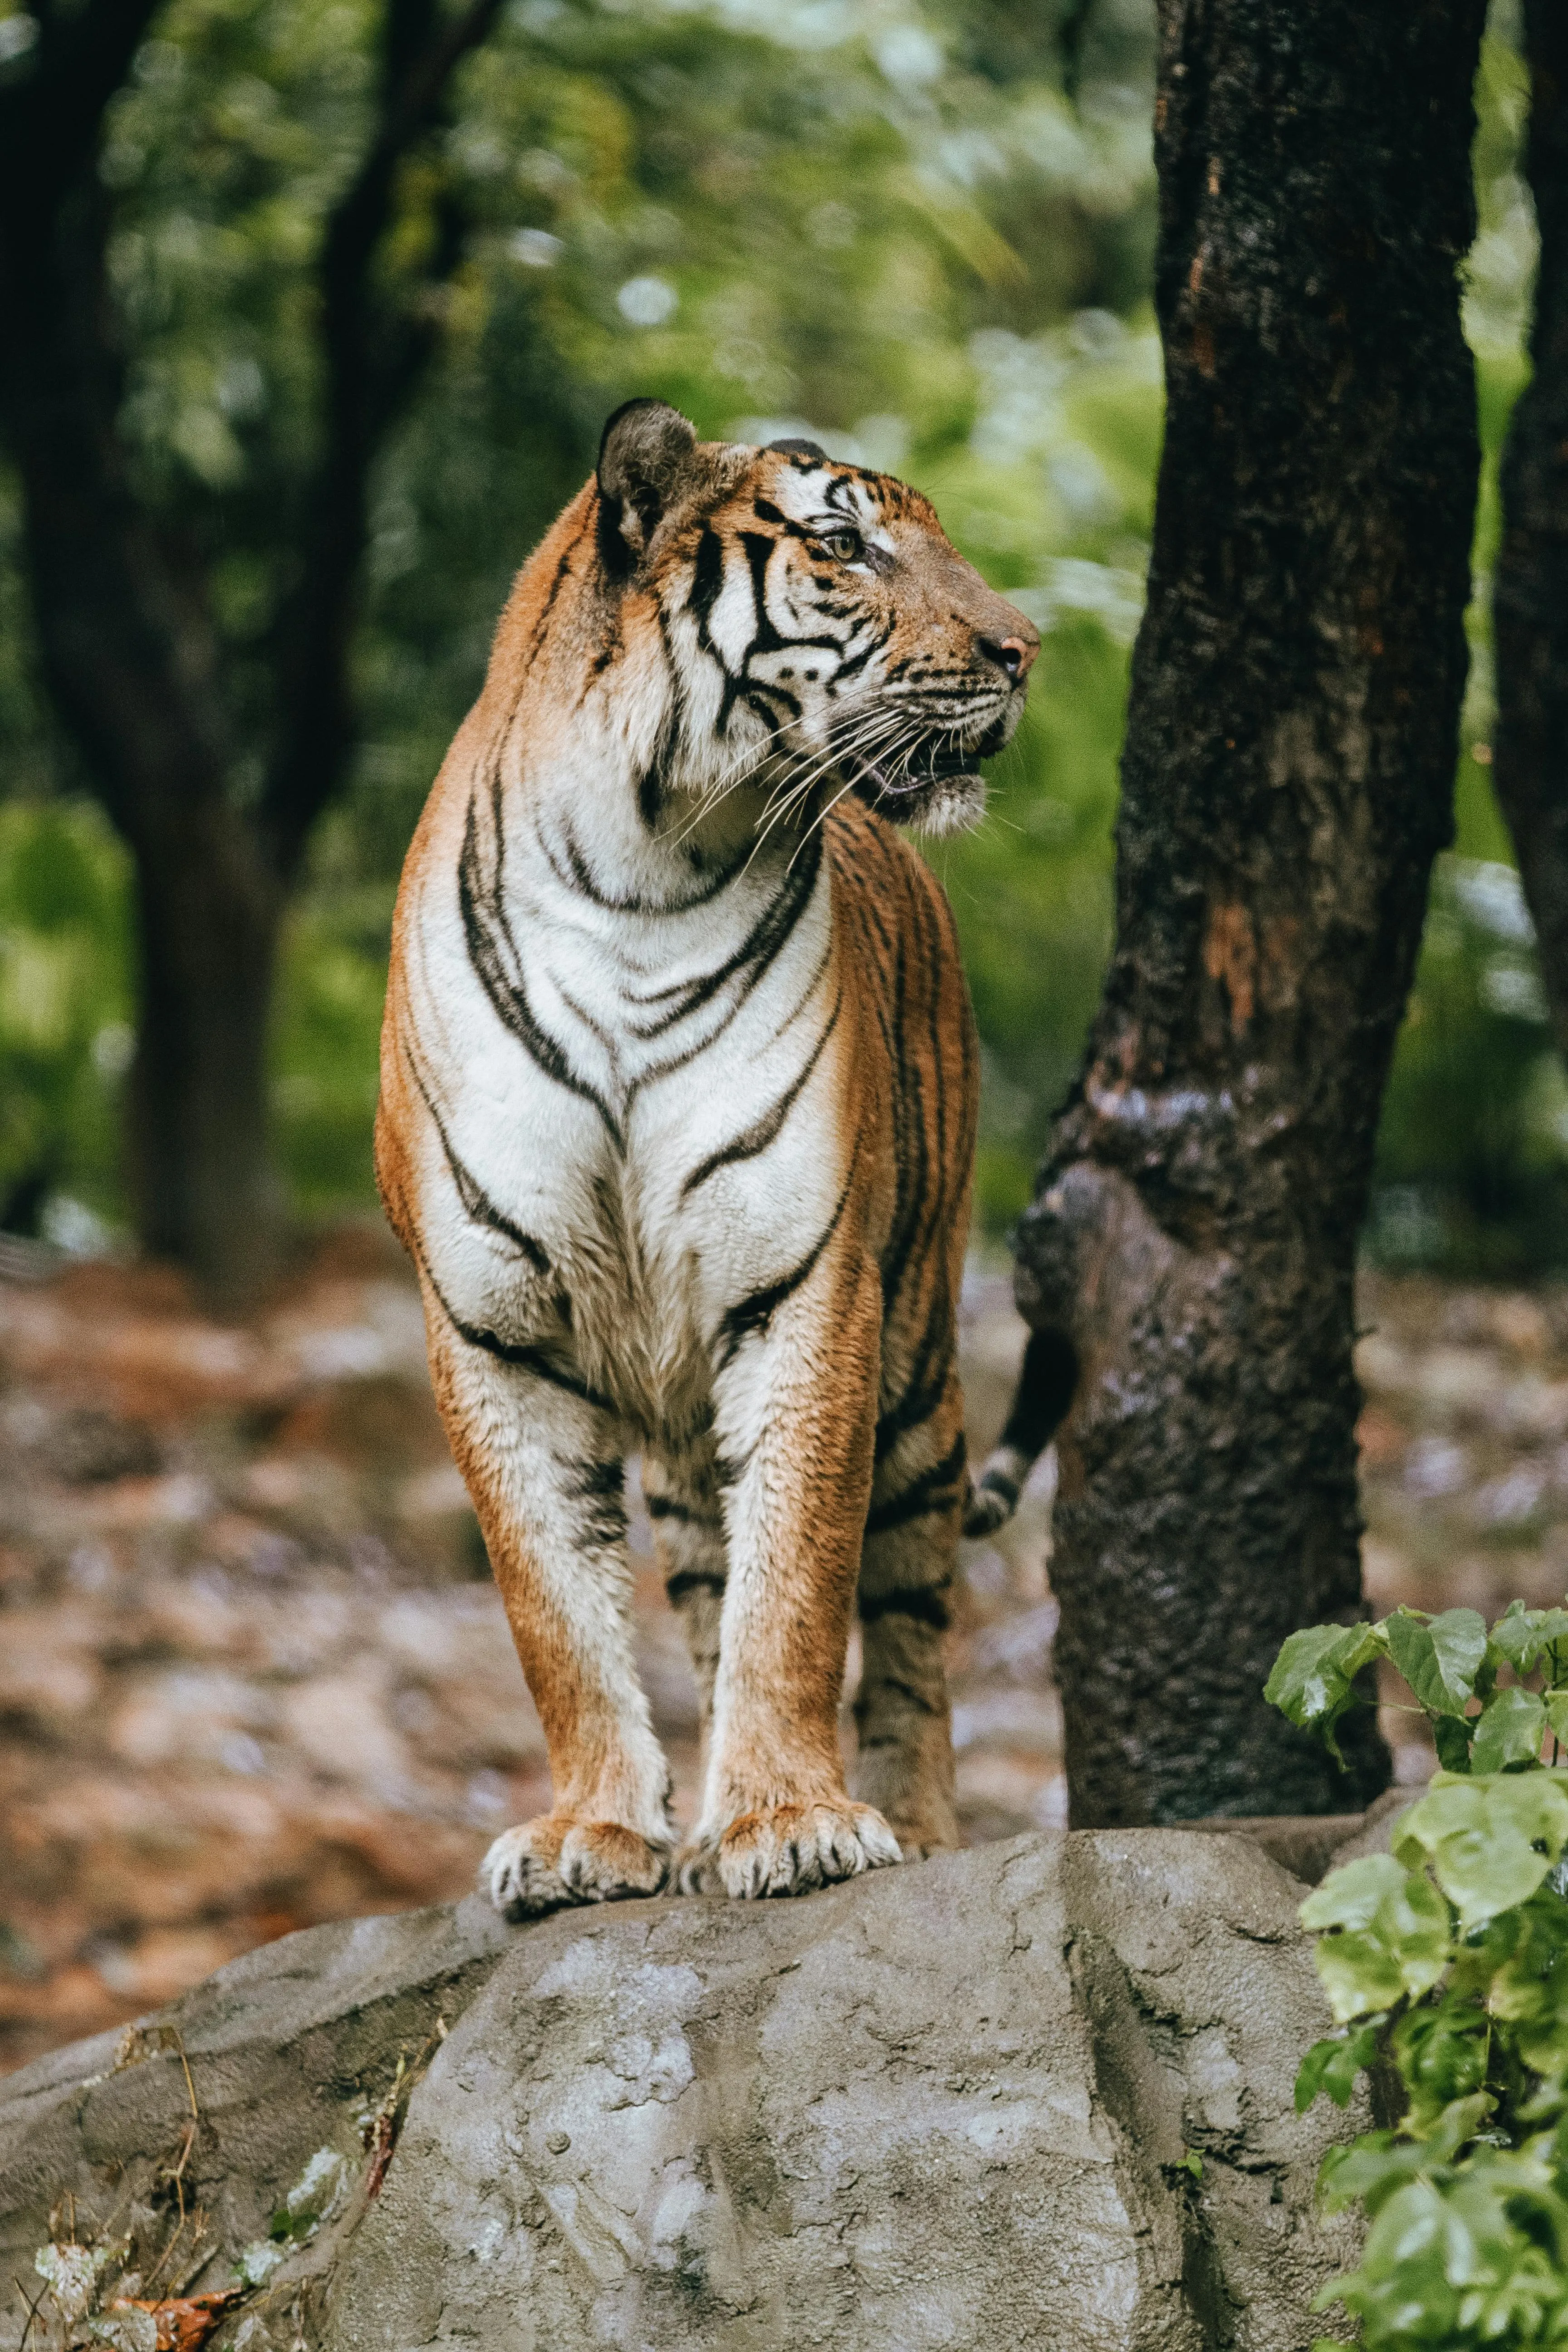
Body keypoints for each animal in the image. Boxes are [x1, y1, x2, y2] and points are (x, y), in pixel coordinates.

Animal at [376, 397, 1038, 1917]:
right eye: (846, 546)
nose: (1022, 651)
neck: (644, 870)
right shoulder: (489, 1324)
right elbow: (556, 1608)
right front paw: (596, 1831)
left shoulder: (810, 1288)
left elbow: (795, 1582)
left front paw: (791, 1822)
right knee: (698, 1588)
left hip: (920, 1366)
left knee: (910, 1623)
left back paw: (917, 1824)